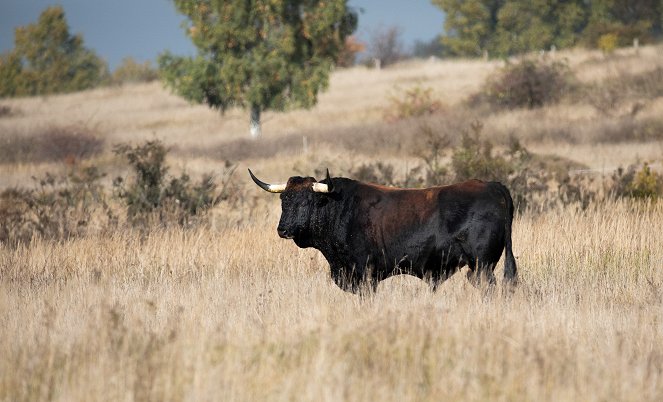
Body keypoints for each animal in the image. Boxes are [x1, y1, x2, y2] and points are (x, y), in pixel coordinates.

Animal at [249, 168, 520, 294]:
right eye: (284, 200)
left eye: (306, 202)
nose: (283, 229)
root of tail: (493, 186)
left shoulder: (365, 274)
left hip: (483, 264)